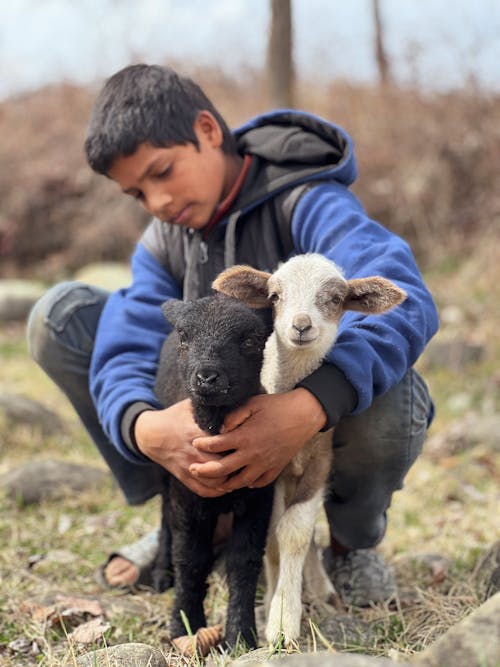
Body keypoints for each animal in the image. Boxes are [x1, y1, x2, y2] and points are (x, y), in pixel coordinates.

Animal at [152, 294, 274, 648]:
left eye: (250, 341)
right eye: (185, 337)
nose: (207, 378)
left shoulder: (260, 496)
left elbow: (244, 561)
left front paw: (241, 635)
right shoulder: (186, 496)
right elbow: (191, 560)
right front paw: (185, 626)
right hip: (164, 474)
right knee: (164, 518)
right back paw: (160, 574)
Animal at [214, 254, 406, 648]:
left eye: (335, 299)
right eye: (274, 296)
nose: (301, 325)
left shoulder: (320, 462)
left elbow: (295, 531)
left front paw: (284, 620)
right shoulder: (266, 469)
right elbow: (273, 536)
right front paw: (275, 603)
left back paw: (319, 588)